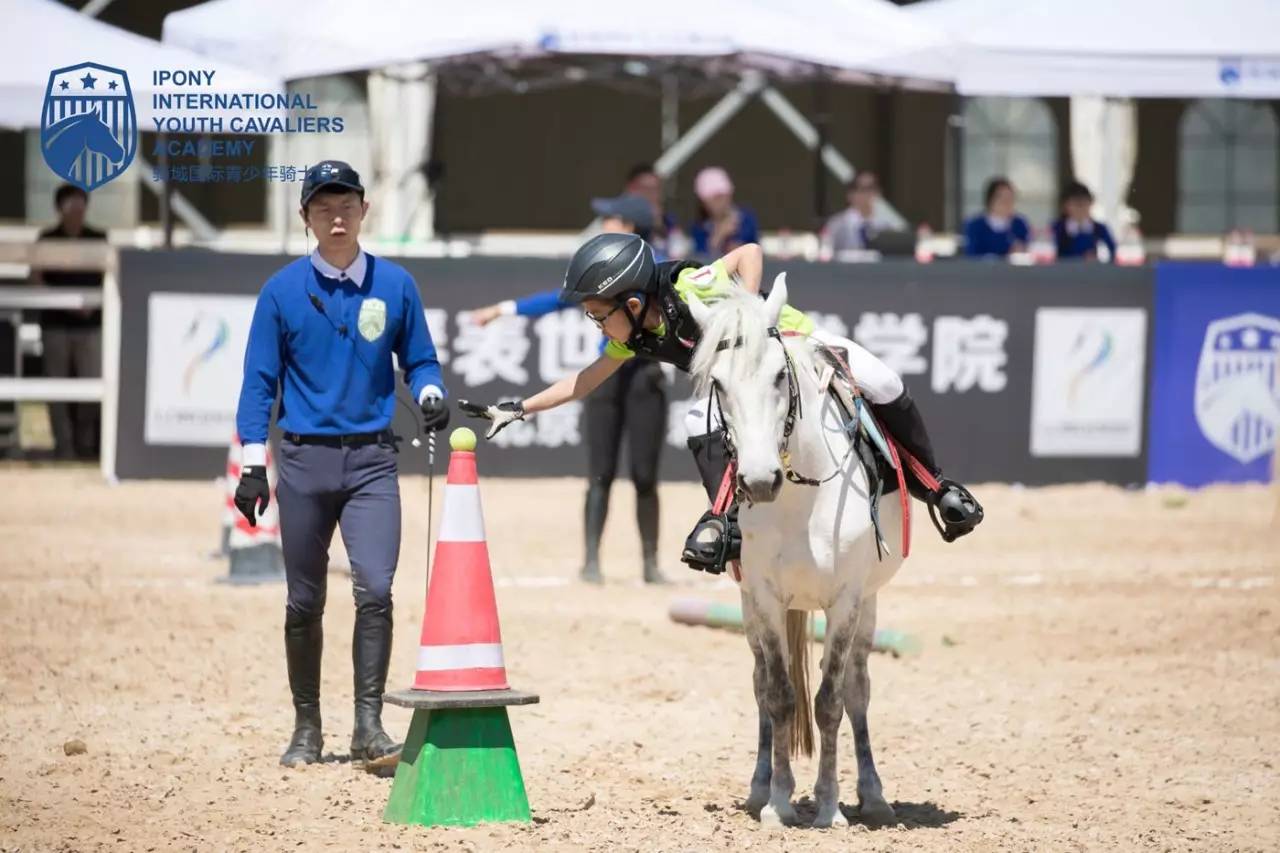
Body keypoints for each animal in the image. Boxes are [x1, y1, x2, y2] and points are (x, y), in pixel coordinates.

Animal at [691, 279, 911, 824]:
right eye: (718, 384)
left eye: (777, 376)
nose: (758, 480)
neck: (800, 499)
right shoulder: (766, 599)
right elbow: (779, 696)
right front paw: (777, 804)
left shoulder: (847, 600)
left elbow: (830, 701)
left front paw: (830, 806)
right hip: (750, 608)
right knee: (760, 686)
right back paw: (760, 787)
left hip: (869, 604)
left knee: (857, 690)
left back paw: (874, 797)